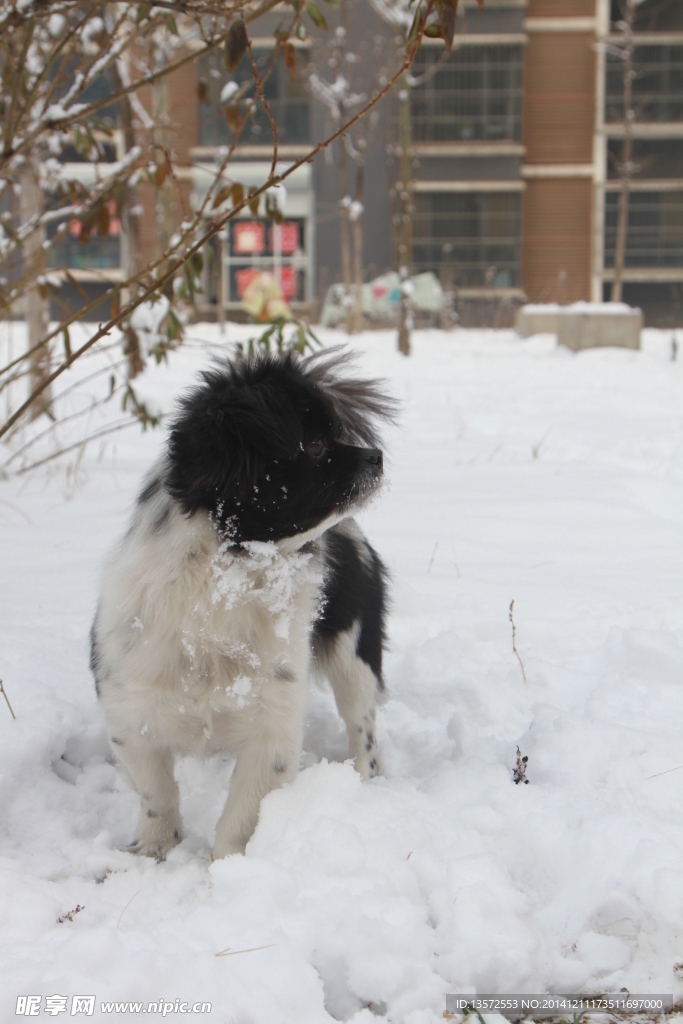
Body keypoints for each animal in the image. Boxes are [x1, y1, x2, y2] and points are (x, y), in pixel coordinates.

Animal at [89, 348, 393, 860]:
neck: (221, 587)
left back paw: (367, 785)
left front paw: (228, 869)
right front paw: (154, 851)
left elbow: (242, 818)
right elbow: (156, 793)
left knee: (363, 727)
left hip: (355, 661)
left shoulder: (272, 725)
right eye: (314, 445)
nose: (377, 456)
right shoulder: (132, 714)